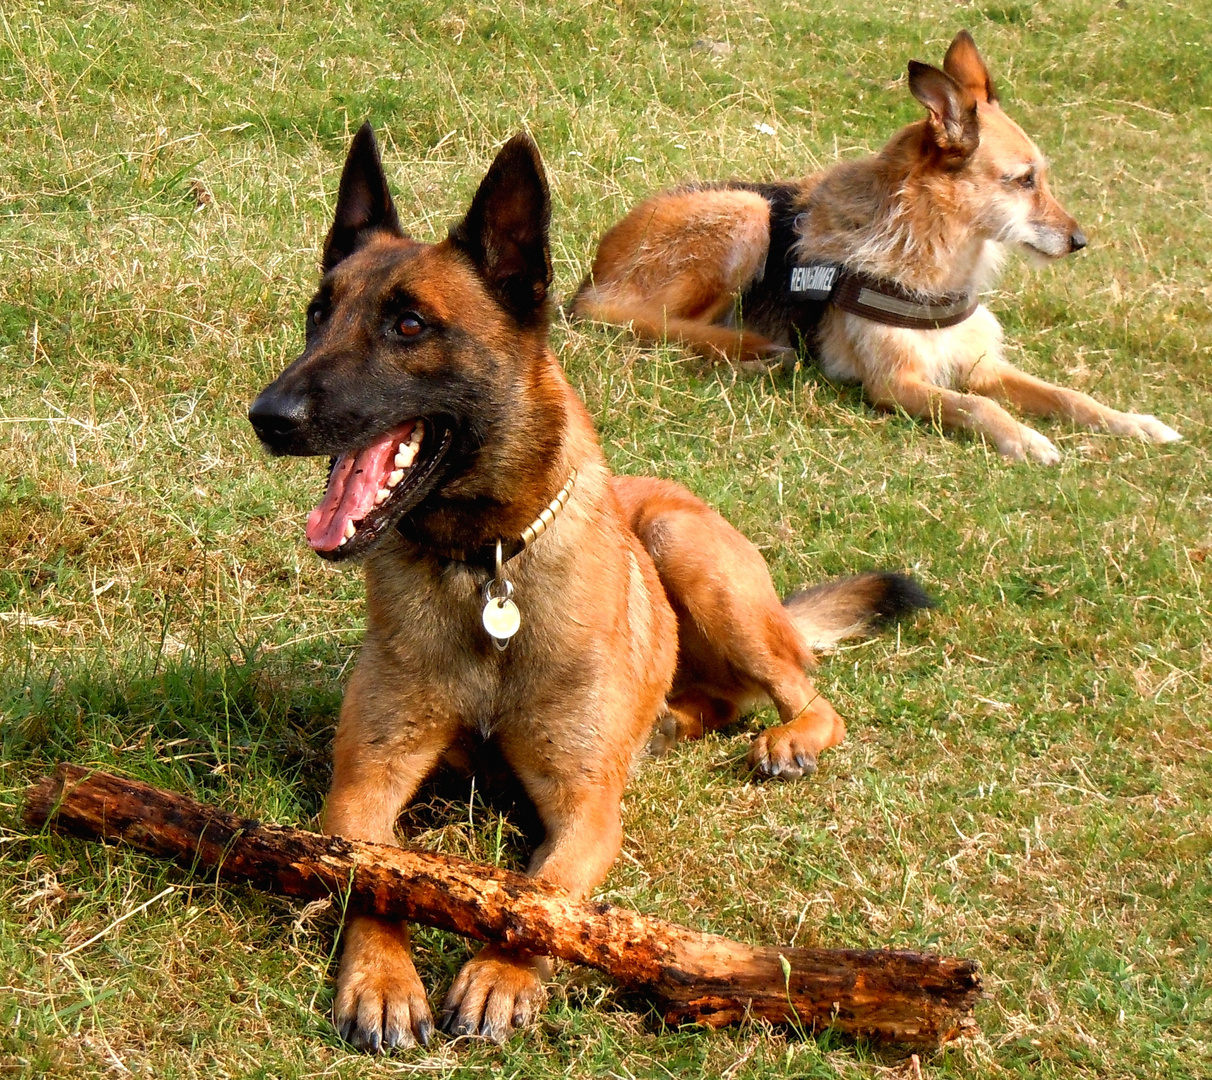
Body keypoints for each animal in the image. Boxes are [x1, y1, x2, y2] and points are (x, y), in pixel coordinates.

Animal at [243, 124, 925, 1047]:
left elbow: (541, 897)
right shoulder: (362, 786)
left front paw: (499, 973)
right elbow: (373, 874)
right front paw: (383, 980)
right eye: (318, 317)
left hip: (688, 550)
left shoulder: (586, 809)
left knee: (805, 691)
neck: (488, 566)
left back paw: (787, 739)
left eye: (409, 325)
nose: (267, 416)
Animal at [572, 31, 1178, 463]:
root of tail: (591, 279)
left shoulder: (979, 365)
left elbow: (1068, 396)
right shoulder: (895, 384)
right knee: (647, 325)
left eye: (1042, 177)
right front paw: (1024, 439)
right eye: (1023, 180)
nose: (1080, 242)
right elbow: (977, 406)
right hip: (748, 212)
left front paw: (1134, 423)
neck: (935, 250)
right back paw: (742, 353)